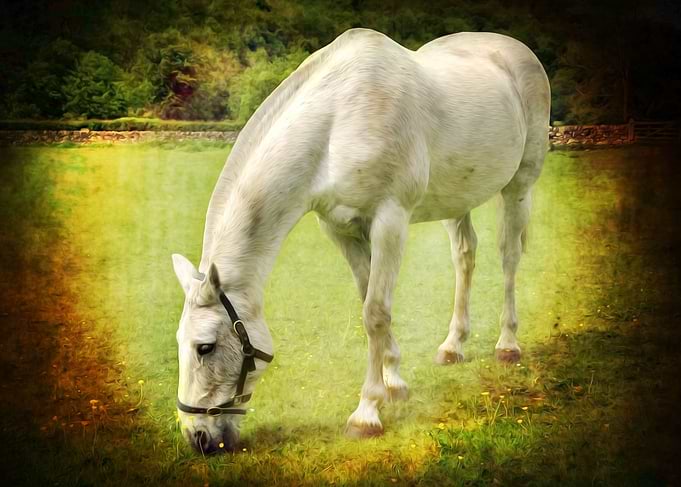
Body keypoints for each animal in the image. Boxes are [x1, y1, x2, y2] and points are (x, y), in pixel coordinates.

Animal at [171, 28, 550, 453]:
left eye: (205, 347)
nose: (198, 438)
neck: (337, 123)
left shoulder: (389, 221)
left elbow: (375, 313)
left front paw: (366, 413)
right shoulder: (341, 229)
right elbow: (368, 299)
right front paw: (395, 383)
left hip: (520, 186)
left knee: (509, 257)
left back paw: (507, 344)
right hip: (458, 200)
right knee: (464, 257)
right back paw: (453, 347)